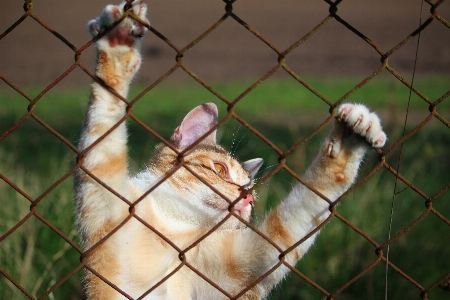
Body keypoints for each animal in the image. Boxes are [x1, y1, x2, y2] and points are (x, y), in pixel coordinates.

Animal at [74, 1, 386, 298]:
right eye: (220, 170)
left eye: (251, 190)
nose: (246, 196)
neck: (172, 227)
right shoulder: (104, 204)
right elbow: (105, 120)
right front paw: (119, 42)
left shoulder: (249, 263)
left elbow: (297, 216)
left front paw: (351, 138)